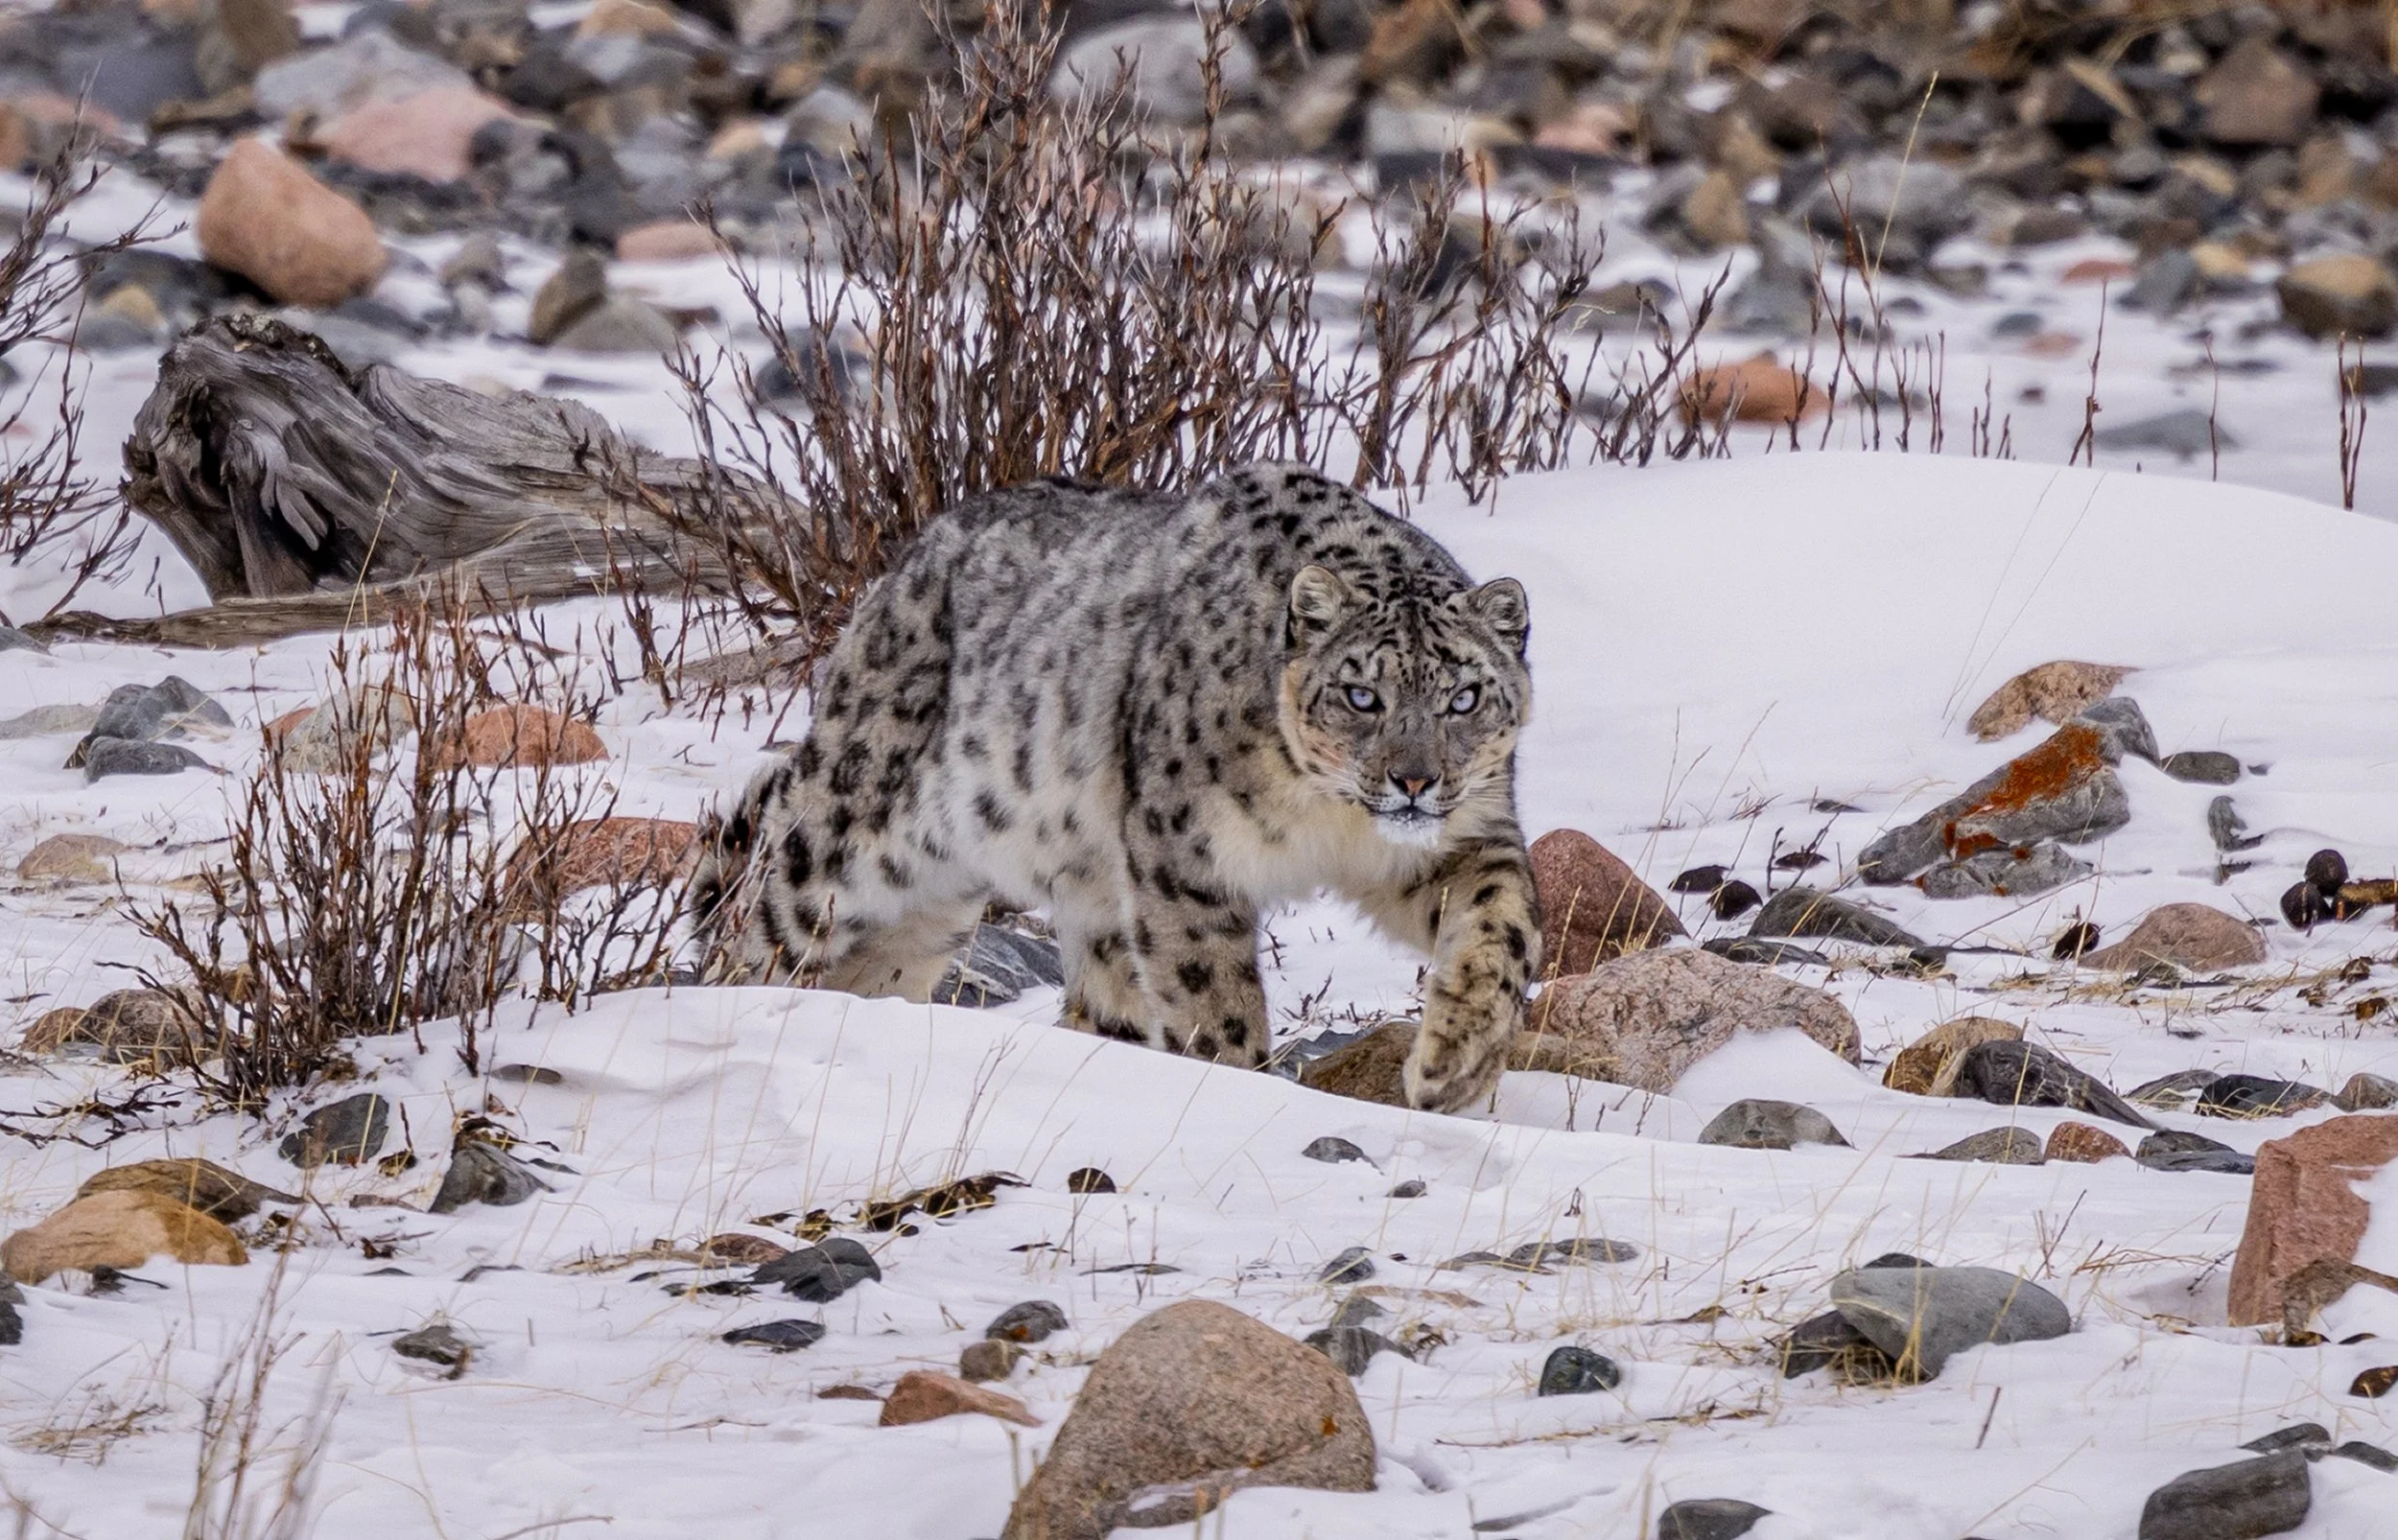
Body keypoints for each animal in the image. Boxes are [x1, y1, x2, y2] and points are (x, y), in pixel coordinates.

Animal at [690, 463, 1541, 1112]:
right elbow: (1211, 990)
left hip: (967, 908)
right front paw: (1241, 1084)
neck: (1331, 823)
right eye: (1363, 695)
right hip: (843, 837)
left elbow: (1505, 928)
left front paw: (1452, 1066)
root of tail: (901, 567)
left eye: (1464, 697)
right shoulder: (1186, 855)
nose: (1415, 779)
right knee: (763, 919)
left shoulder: (1465, 839)